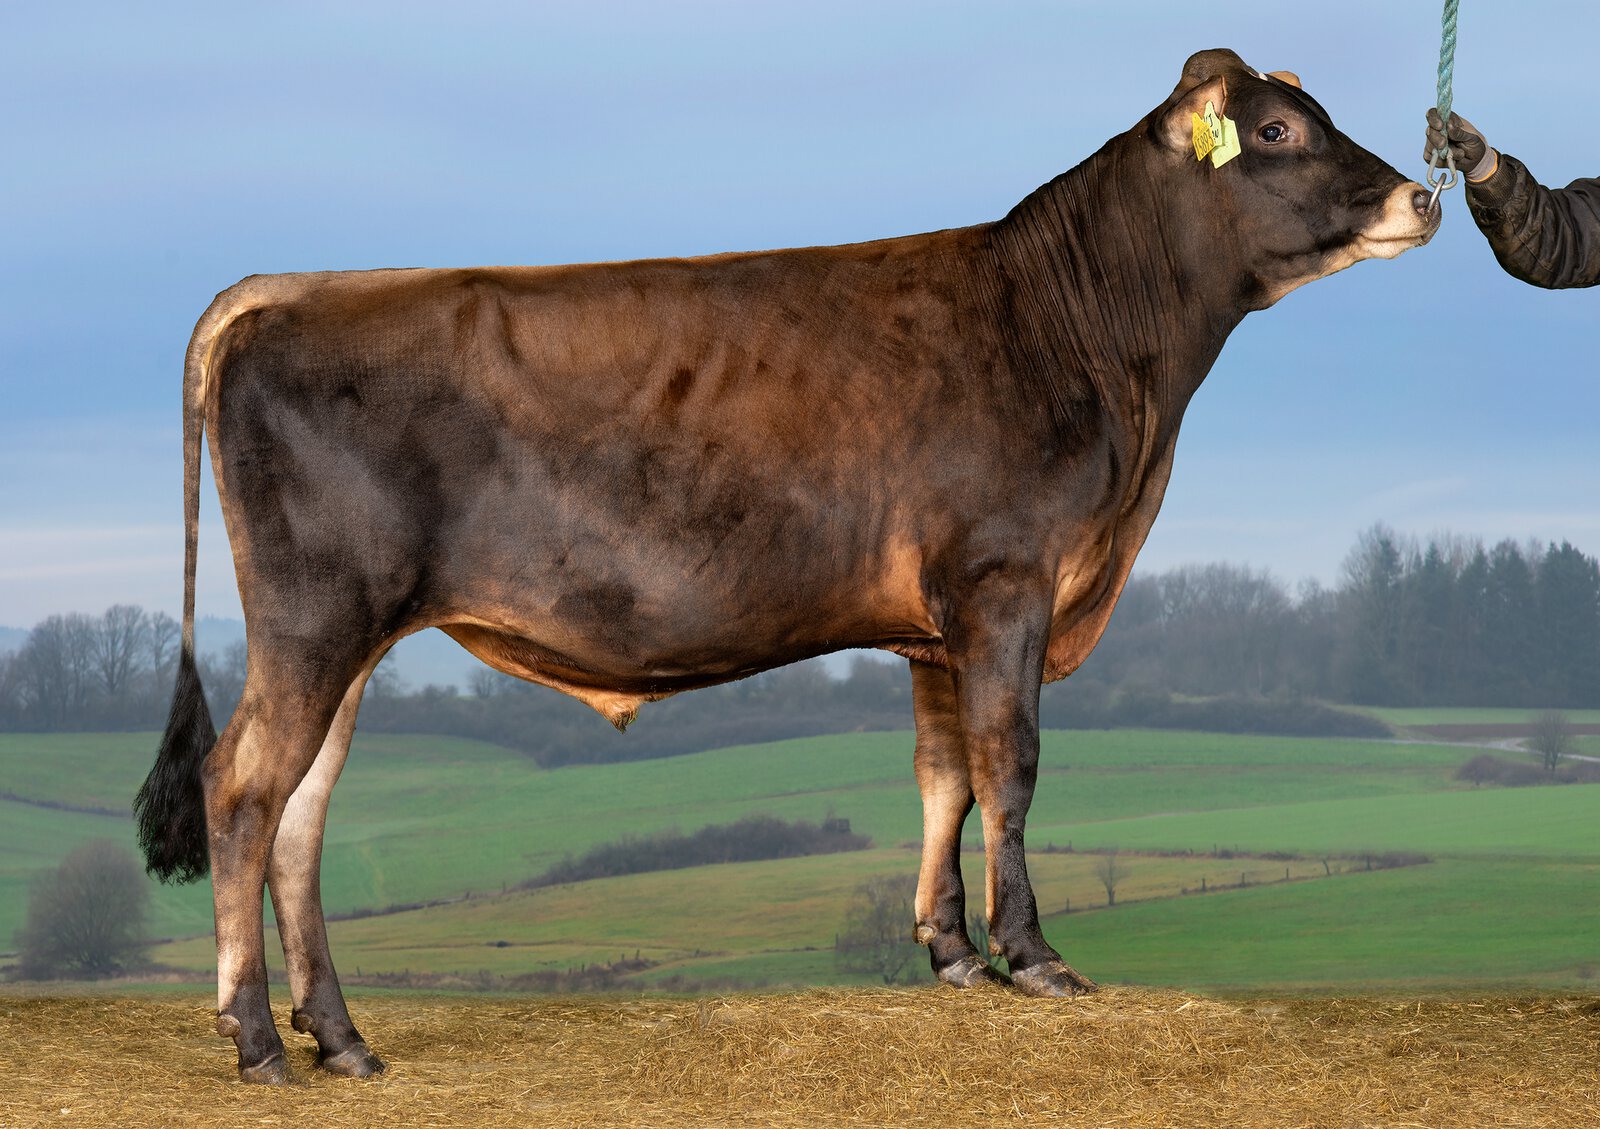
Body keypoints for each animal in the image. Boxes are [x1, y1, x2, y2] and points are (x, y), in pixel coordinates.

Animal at [135, 48, 1437, 1083]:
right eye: (1275, 132)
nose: (1422, 193)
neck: (1093, 350)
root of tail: (296, 287)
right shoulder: (1004, 580)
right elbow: (1009, 766)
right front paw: (1033, 957)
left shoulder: (933, 623)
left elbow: (942, 774)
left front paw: (952, 952)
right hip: (316, 618)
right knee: (242, 790)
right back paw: (258, 1040)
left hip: (347, 637)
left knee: (301, 812)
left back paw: (341, 1037)